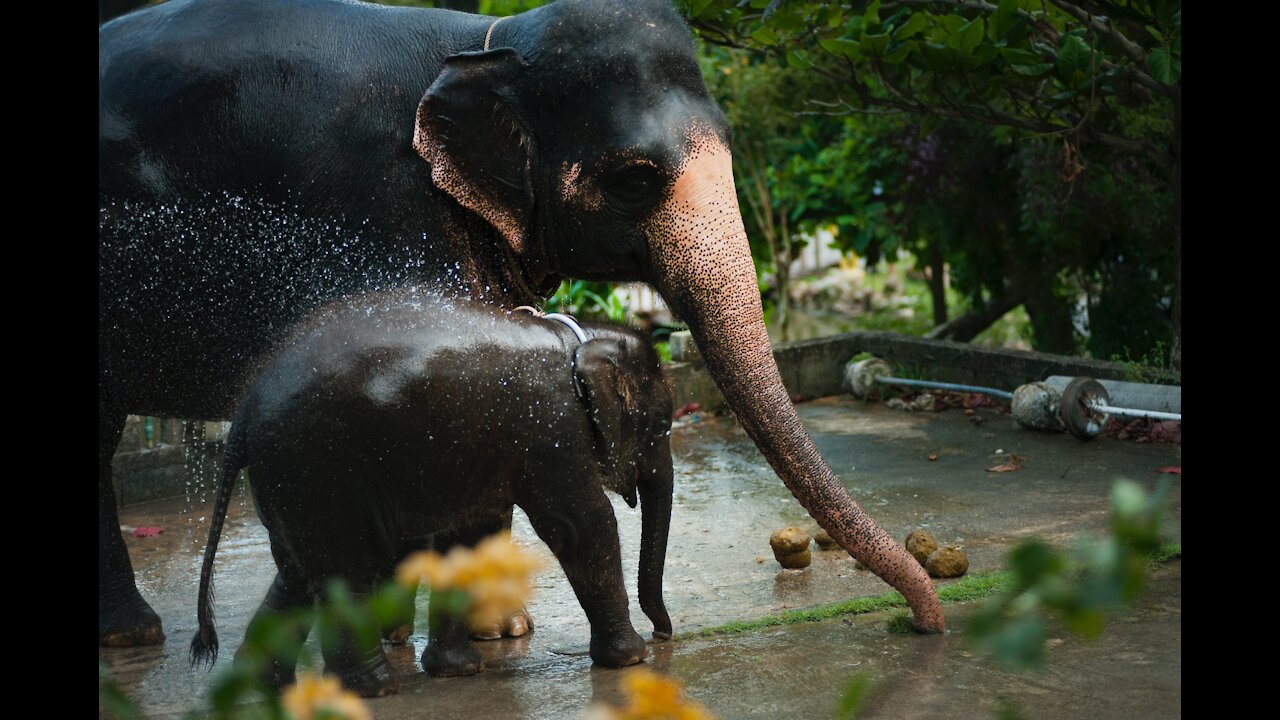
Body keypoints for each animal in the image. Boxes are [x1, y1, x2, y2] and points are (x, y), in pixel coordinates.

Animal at [97, 0, 942, 640]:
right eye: (635, 178)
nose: (925, 621)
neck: (483, 41)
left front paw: (501, 634)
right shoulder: (380, 207)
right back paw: (137, 634)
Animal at [190, 285, 675, 696]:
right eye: (662, 426)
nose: (664, 633)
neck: (577, 339)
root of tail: (244, 412)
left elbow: (469, 537)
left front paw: (457, 671)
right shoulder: (552, 432)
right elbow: (581, 526)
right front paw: (631, 659)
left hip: (292, 479)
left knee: (297, 571)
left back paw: (267, 684)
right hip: (318, 467)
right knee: (349, 567)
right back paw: (377, 688)